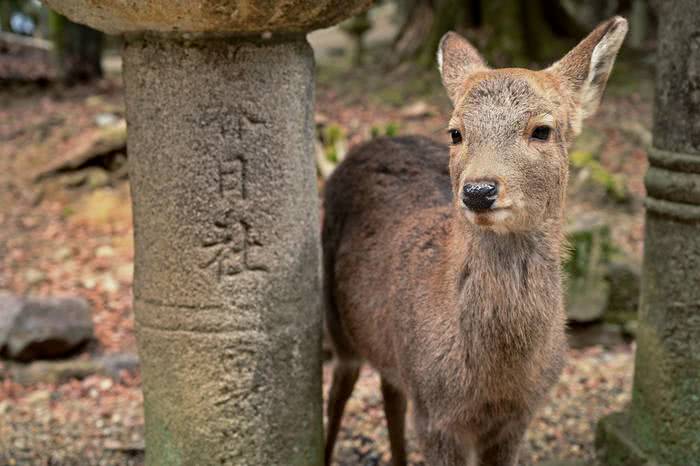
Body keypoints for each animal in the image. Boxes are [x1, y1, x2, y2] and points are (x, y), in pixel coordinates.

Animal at [322, 16, 628, 464]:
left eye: (542, 130)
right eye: (455, 132)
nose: (479, 190)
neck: (494, 381)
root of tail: (373, 141)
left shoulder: (518, 417)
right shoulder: (434, 414)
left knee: (389, 391)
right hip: (335, 318)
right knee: (340, 389)